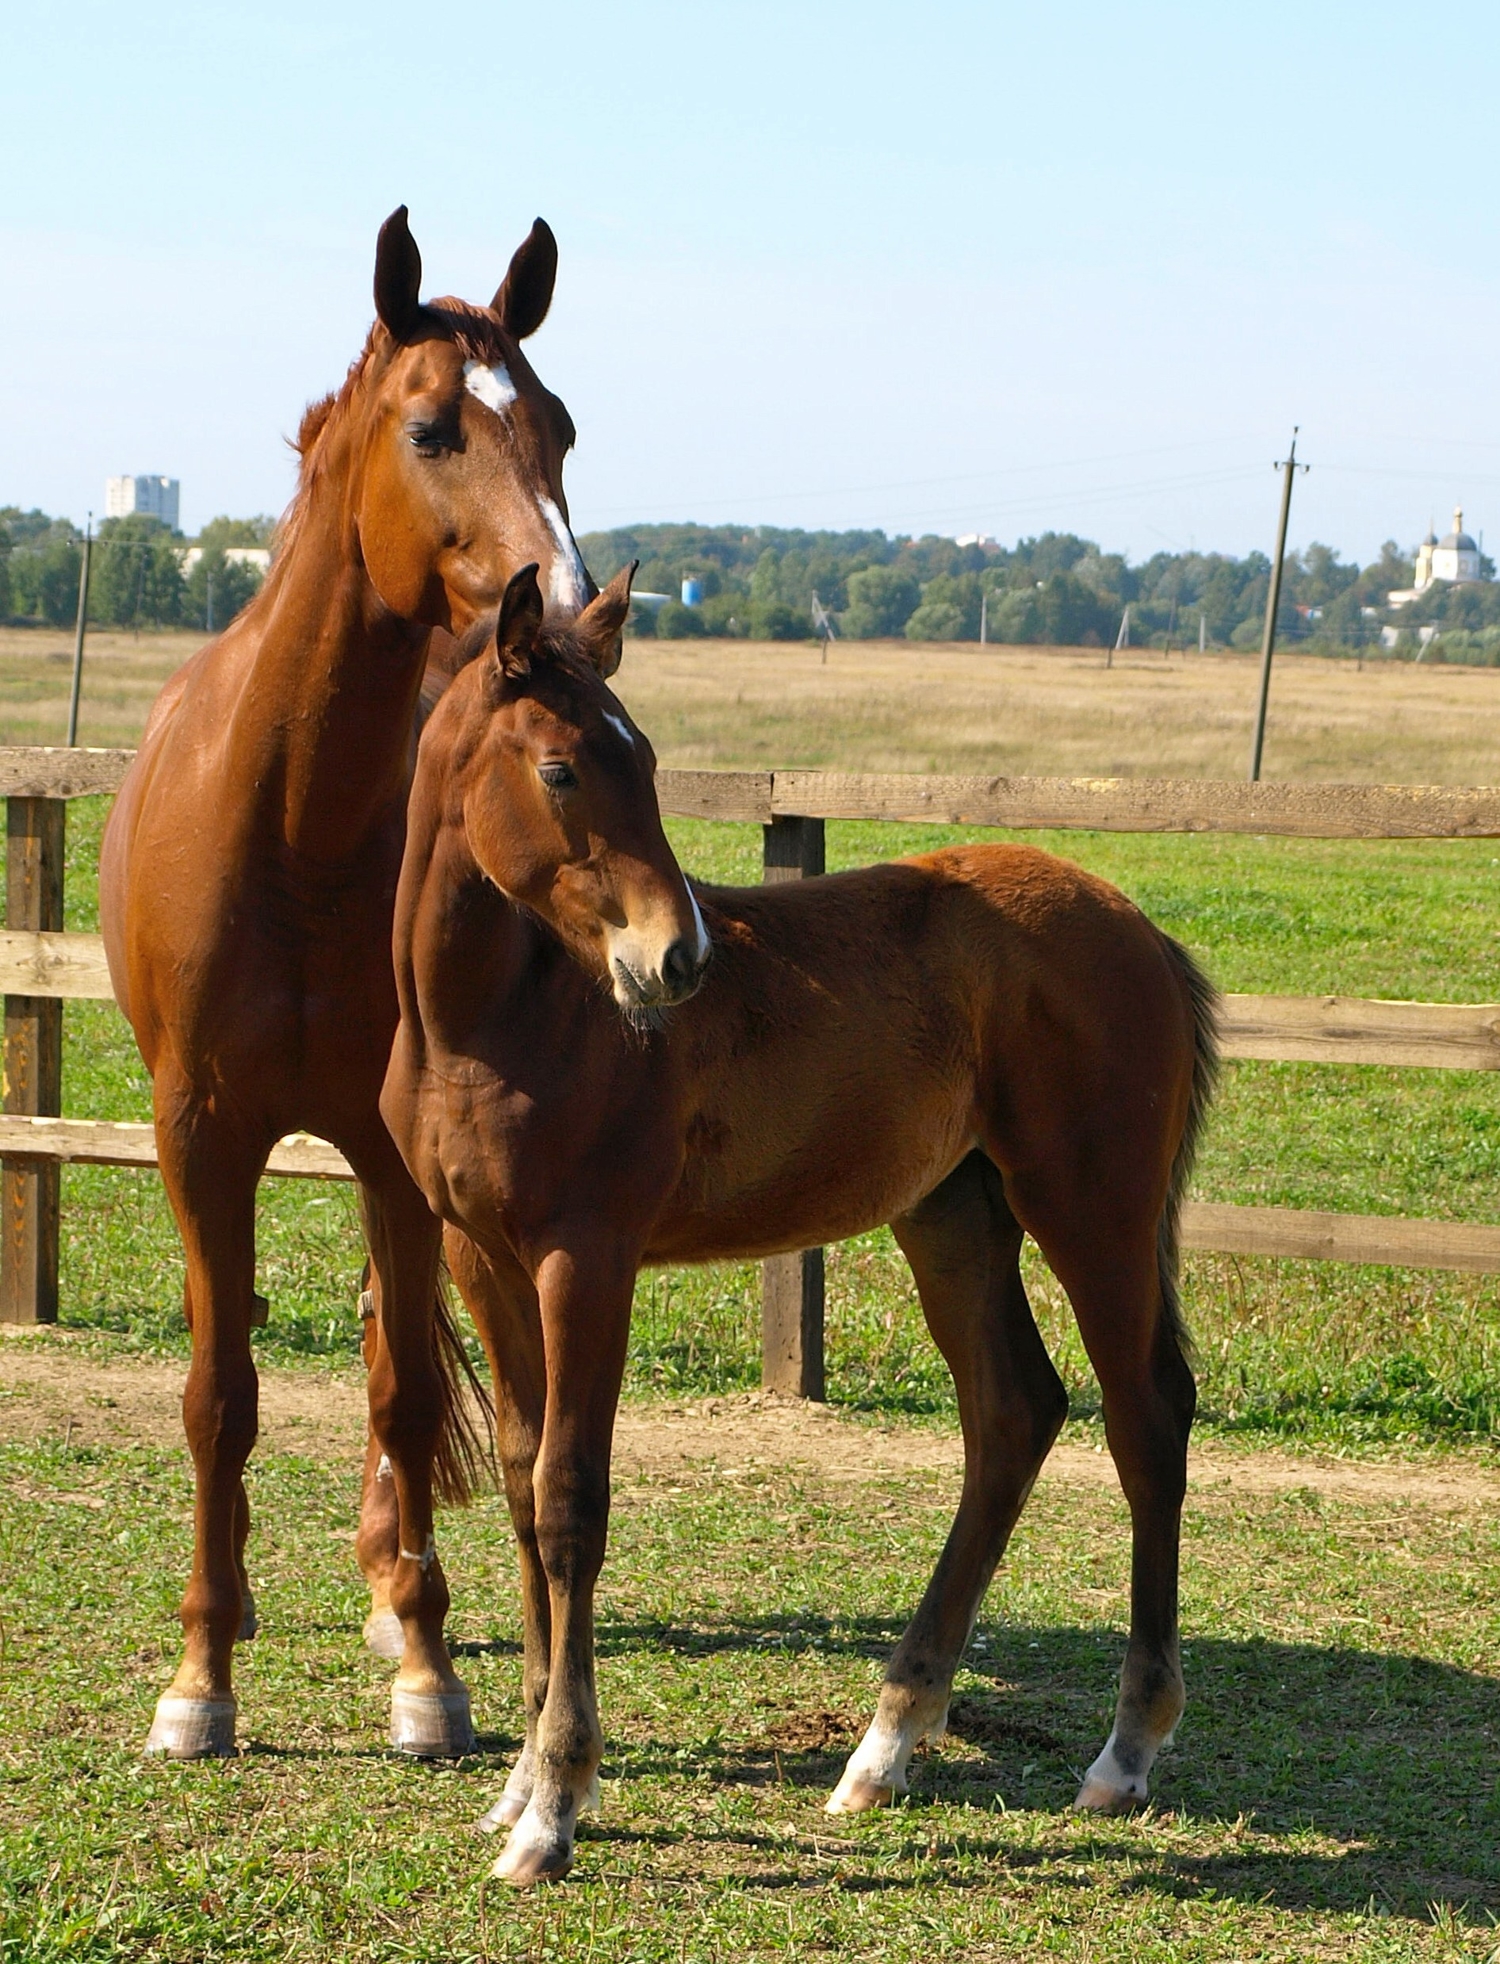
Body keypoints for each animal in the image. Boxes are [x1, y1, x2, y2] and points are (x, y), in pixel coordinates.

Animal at [96, 207, 600, 1759]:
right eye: (435, 426)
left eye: (558, 424)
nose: (569, 612)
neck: (293, 823)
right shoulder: (199, 1136)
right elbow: (220, 1395)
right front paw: (200, 1674)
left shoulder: (388, 1152)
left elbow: (403, 1392)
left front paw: (426, 1671)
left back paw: (390, 1589)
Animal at [382, 569, 1217, 1885]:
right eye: (562, 767)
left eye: (648, 757)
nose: (676, 959)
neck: (498, 1019)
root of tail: (1133, 922)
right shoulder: (483, 1253)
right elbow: (520, 1483)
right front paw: (517, 1783)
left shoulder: (588, 1256)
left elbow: (572, 1497)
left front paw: (556, 1806)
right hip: (953, 1212)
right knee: (1015, 1409)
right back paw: (885, 1744)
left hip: (1094, 1206)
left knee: (1145, 1419)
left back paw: (1124, 1752)